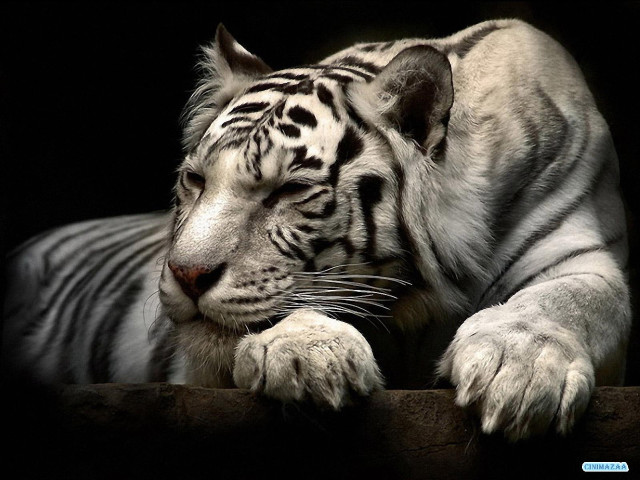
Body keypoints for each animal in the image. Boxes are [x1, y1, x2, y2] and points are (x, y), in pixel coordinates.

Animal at [2, 19, 630, 442]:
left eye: (287, 191)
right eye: (195, 180)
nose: (186, 274)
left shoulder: (579, 249)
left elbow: (569, 300)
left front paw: (520, 371)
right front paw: (307, 354)